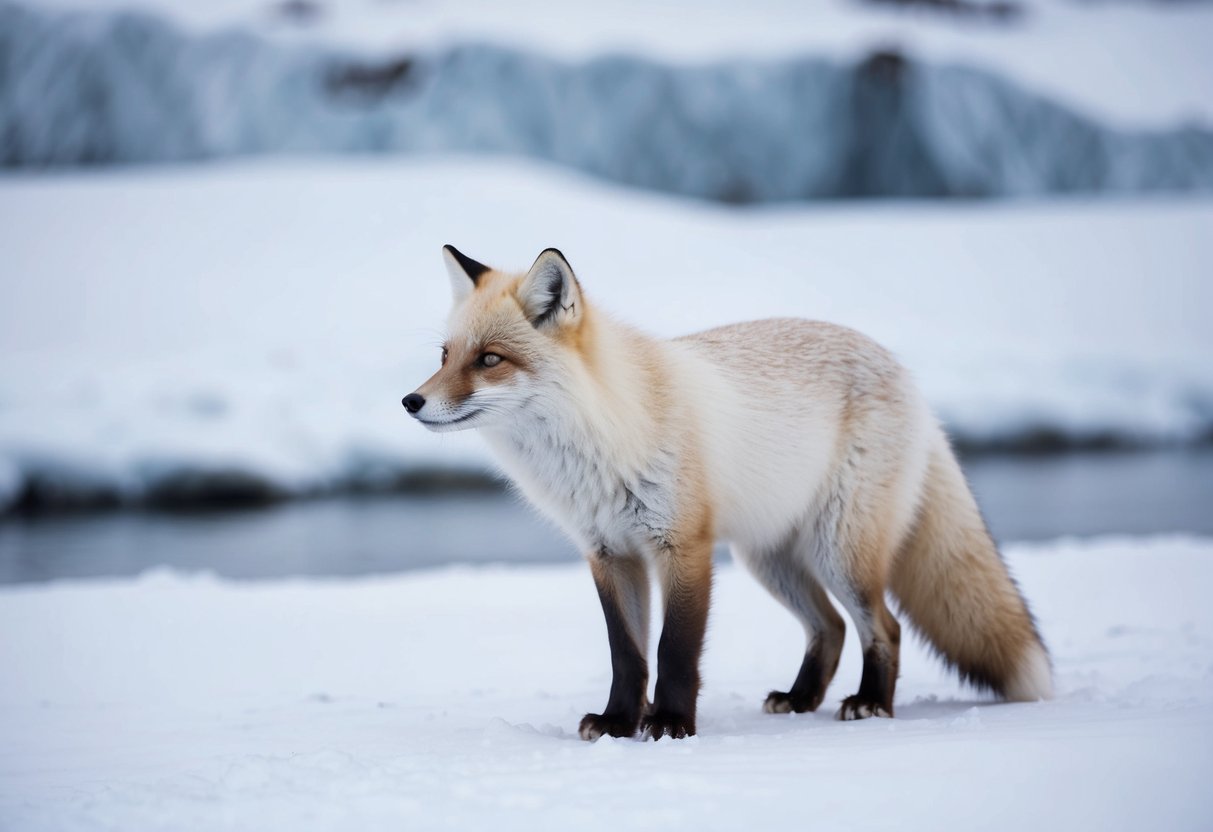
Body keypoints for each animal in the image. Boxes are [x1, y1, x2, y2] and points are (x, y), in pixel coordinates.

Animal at [403, 245, 1053, 741]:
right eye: (445, 355)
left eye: (490, 359)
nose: (411, 401)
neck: (606, 434)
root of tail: (906, 373)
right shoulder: (610, 554)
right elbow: (627, 655)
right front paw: (618, 724)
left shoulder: (683, 545)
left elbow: (674, 651)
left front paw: (669, 724)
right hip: (770, 559)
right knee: (830, 628)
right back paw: (799, 699)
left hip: (840, 553)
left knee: (883, 628)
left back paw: (870, 704)